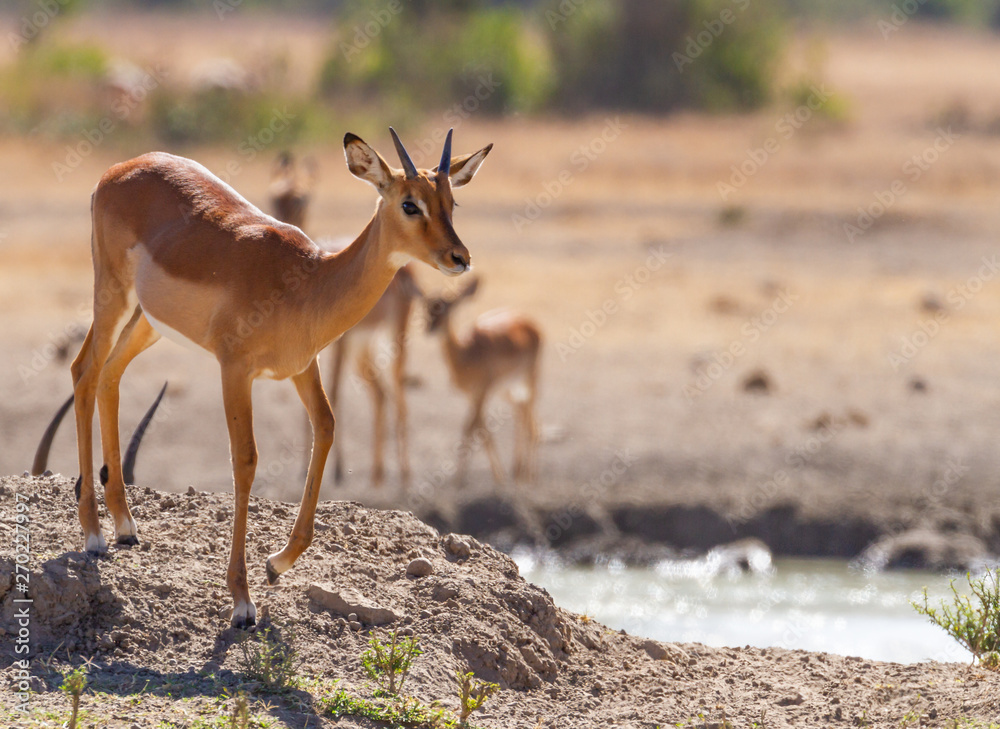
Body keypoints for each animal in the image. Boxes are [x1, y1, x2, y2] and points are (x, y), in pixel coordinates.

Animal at [71, 128, 491, 628]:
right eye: (410, 203)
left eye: (451, 201)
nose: (459, 257)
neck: (309, 281)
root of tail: (120, 168)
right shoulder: (234, 370)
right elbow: (246, 460)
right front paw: (241, 602)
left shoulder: (303, 367)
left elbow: (326, 426)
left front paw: (276, 563)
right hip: (111, 294)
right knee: (84, 372)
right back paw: (94, 533)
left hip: (148, 321)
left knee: (110, 376)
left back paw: (125, 526)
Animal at [425, 277, 541, 485]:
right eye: (426, 306)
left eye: (449, 306)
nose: (430, 327)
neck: (465, 353)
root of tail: (529, 321)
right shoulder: (472, 394)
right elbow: (479, 427)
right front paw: (467, 476)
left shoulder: (483, 390)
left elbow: (472, 427)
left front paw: (465, 479)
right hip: (509, 389)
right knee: (522, 414)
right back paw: (518, 470)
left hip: (530, 379)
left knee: (532, 423)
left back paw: (529, 475)